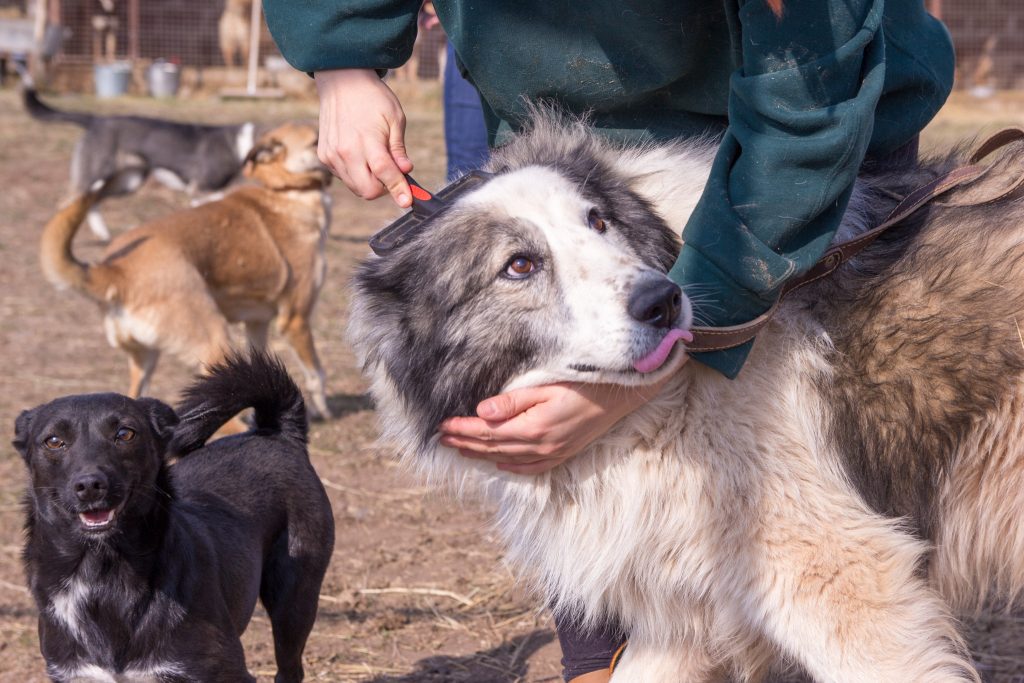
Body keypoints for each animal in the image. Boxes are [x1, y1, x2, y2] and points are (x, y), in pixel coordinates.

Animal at [14, 352, 333, 683]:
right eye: (53, 441)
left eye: (124, 434)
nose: (89, 485)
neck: (102, 574)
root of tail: (275, 434)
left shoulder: (226, 672)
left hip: (294, 601)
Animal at [40, 120, 331, 423]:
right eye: (315, 140)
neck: (284, 191)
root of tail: (114, 270)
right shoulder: (295, 319)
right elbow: (316, 374)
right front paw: (322, 410)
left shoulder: (256, 323)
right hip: (214, 342)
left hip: (146, 363)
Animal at [346, 113, 1024, 683]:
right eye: (518, 266)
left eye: (598, 221)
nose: (663, 301)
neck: (658, 408)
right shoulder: (685, 612)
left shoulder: (842, 581)